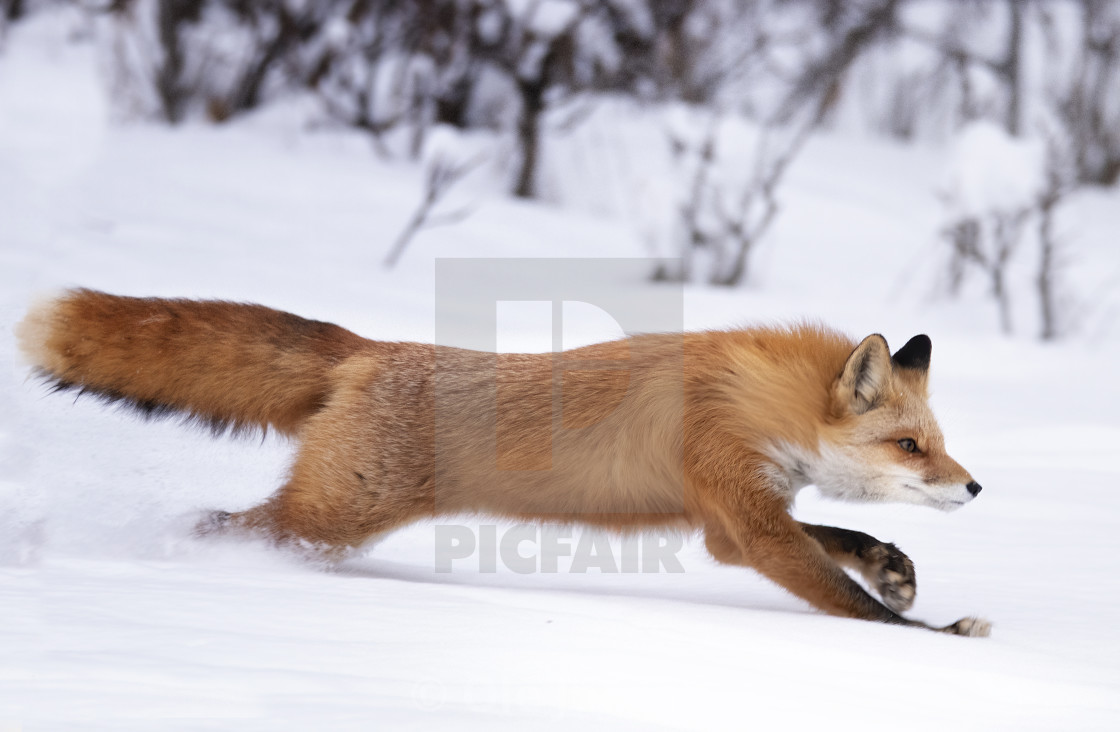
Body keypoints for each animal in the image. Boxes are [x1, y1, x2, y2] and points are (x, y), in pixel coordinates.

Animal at [13, 291, 985, 635]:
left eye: (938, 442)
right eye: (911, 447)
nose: (975, 487)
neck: (759, 403)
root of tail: (371, 350)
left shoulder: (733, 520)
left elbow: (842, 539)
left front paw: (894, 568)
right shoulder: (743, 522)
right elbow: (842, 594)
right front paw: (932, 637)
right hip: (328, 520)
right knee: (219, 527)